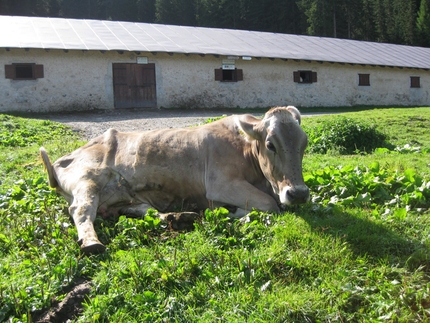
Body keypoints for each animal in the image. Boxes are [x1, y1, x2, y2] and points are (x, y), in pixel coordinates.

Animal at [40, 105, 310, 253]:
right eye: (270, 144)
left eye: (304, 143)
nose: (298, 193)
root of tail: (63, 159)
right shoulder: (221, 184)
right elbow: (270, 204)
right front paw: (230, 211)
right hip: (87, 180)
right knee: (82, 210)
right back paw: (91, 243)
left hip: (126, 195)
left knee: (141, 210)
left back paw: (182, 218)